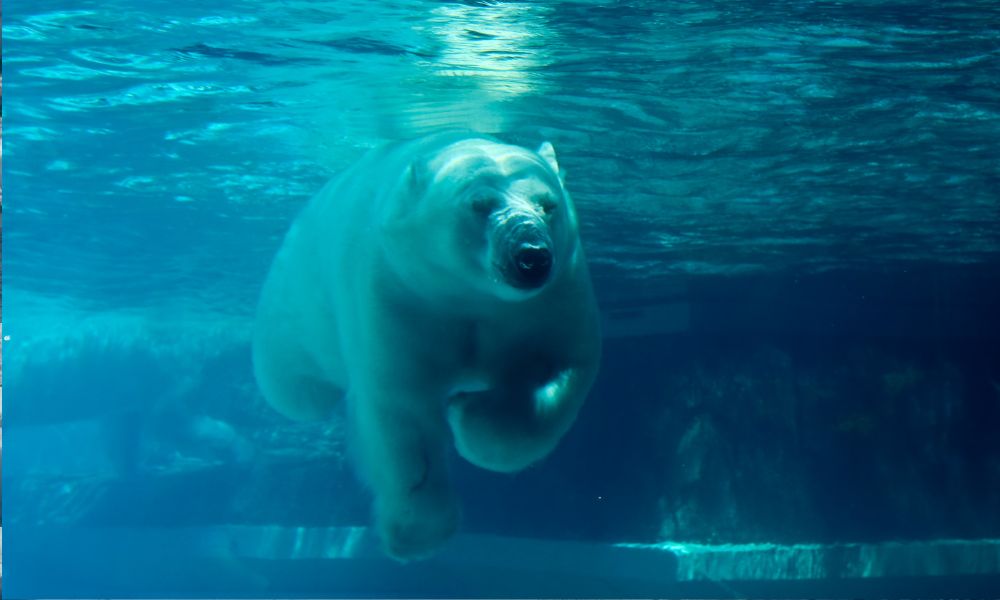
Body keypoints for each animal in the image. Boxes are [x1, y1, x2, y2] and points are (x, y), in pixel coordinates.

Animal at [256, 130, 600, 556]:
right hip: (294, 303)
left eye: (548, 204)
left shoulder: (552, 299)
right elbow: (402, 413)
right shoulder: (398, 294)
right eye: (479, 204)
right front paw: (416, 534)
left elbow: (562, 368)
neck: (467, 294)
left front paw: (468, 414)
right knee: (294, 389)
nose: (532, 257)